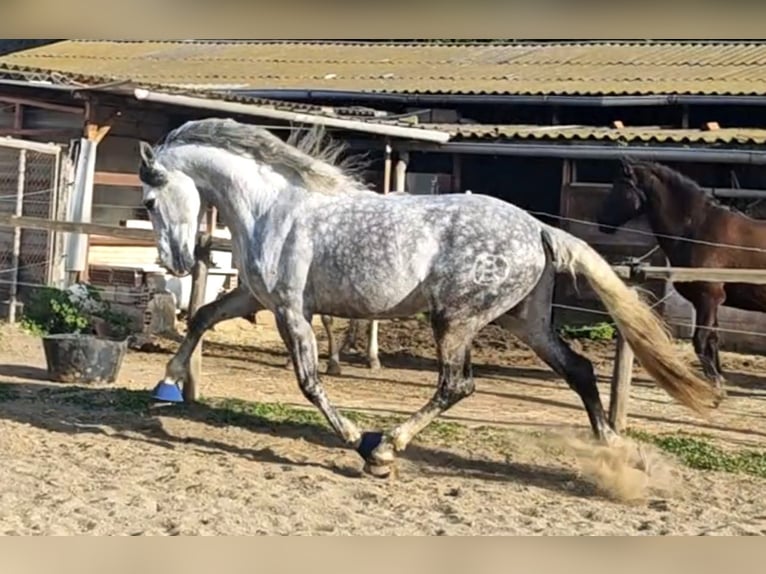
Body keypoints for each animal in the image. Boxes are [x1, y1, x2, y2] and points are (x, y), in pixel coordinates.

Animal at [596, 155, 766, 394]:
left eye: (620, 186)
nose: (601, 221)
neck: (698, 231)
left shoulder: (708, 298)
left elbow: (701, 340)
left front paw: (715, 384)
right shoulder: (710, 303)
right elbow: (712, 339)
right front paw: (719, 380)